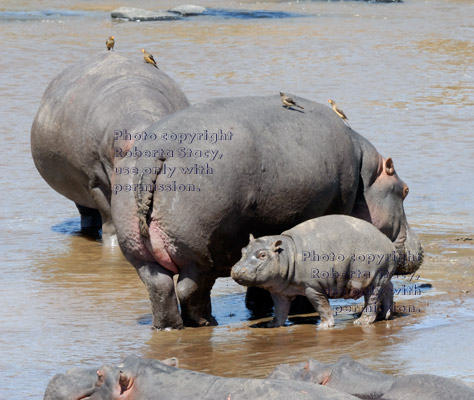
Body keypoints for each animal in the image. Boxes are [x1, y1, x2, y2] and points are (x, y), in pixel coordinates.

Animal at [231, 216, 398, 328]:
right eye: (242, 250)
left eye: (262, 255)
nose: (236, 270)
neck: (287, 254)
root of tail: (389, 243)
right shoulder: (279, 292)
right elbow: (280, 310)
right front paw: (271, 325)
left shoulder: (313, 288)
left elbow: (321, 306)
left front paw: (324, 326)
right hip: (382, 276)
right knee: (389, 288)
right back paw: (386, 315)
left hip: (374, 277)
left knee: (372, 298)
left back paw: (361, 321)